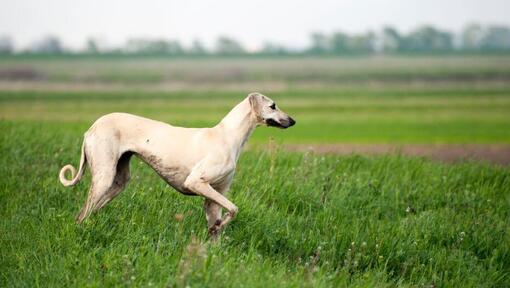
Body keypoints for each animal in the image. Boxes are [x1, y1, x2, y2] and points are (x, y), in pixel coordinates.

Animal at [59, 92, 294, 236]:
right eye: (273, 106)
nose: (293, 121)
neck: (228, 136)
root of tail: (91, 128)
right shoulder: (196, 182)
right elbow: (234, 209)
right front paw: (221, 225)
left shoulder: (214, 197)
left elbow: (218, 225)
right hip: (104, 177)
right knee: (82, 214)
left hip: (118, 182)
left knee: (89, 212)